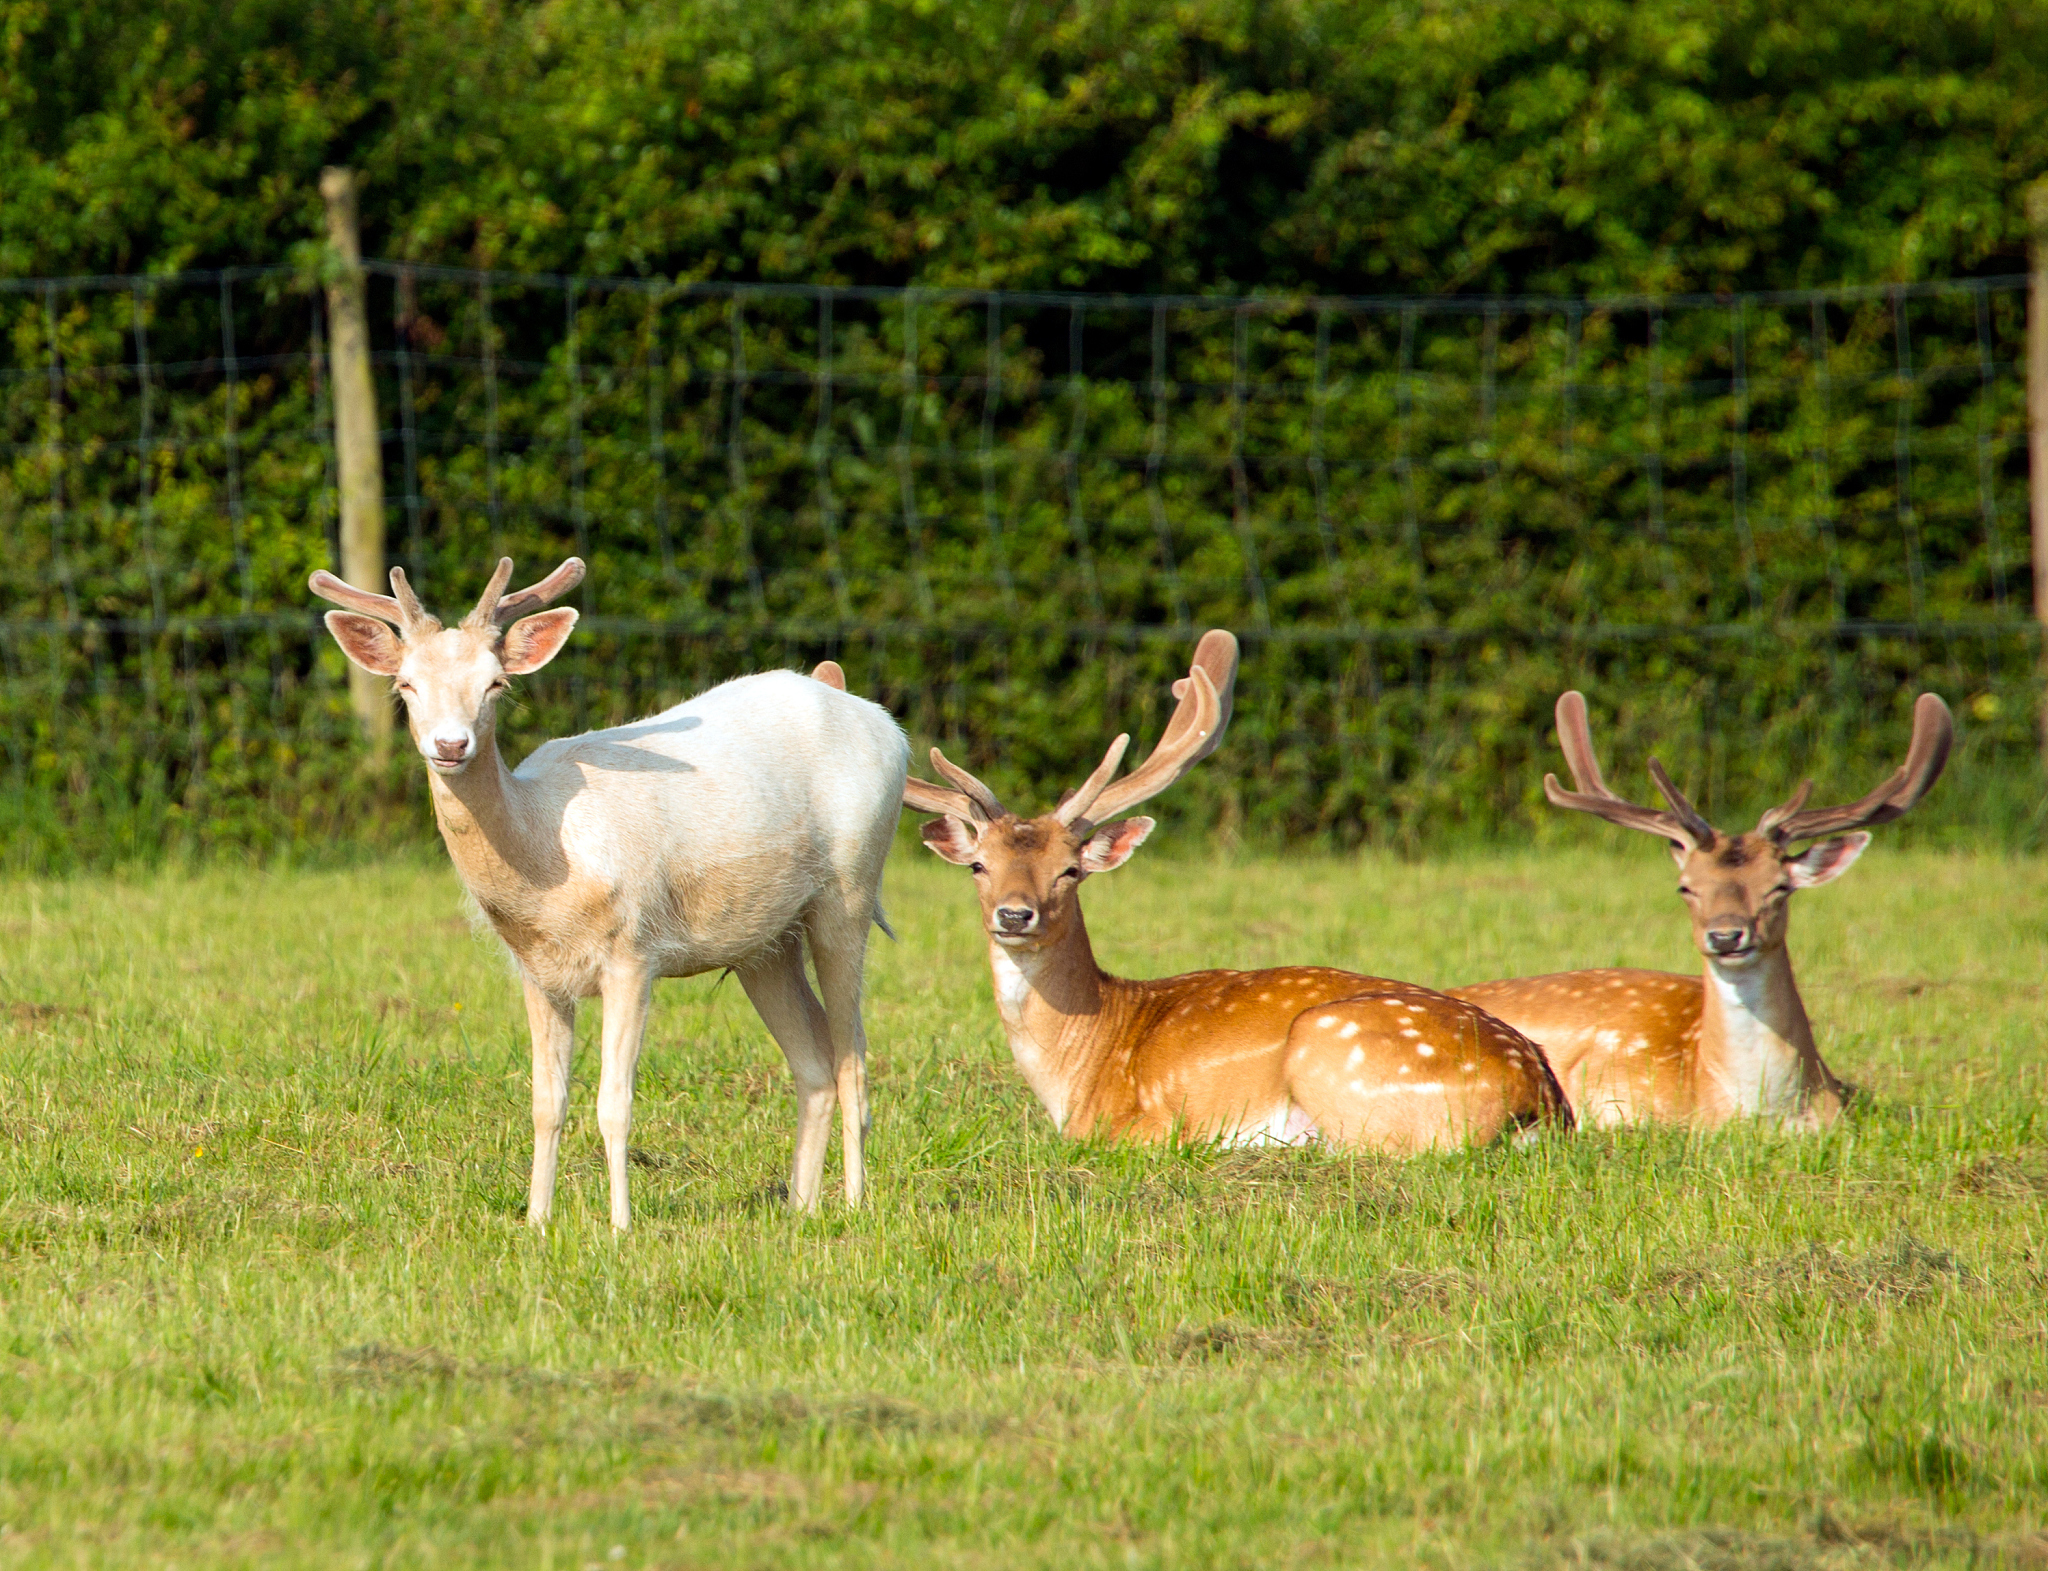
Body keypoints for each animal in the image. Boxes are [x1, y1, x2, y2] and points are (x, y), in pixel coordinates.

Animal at [310, 557, 909, 1230]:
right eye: (406, 685)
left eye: (496, 684)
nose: (450, 745)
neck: (552, 862)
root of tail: (888, 725)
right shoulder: (537, 972)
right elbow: (546, 1103)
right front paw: (536, 1221)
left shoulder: (633, 951)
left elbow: (613, 1104)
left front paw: (620, 1226)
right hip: (764, 942)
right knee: (813, 1065)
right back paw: (800, 1211)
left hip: (851, 887)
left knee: (853, 1057)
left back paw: (853, 1204)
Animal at [903, 632, 1572, 1153]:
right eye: (979, 866)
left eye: (1069, 870)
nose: (1016, 915)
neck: (1081, 1066)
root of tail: (1539, 1098)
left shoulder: (1138, 1126)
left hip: (1329, 1050)